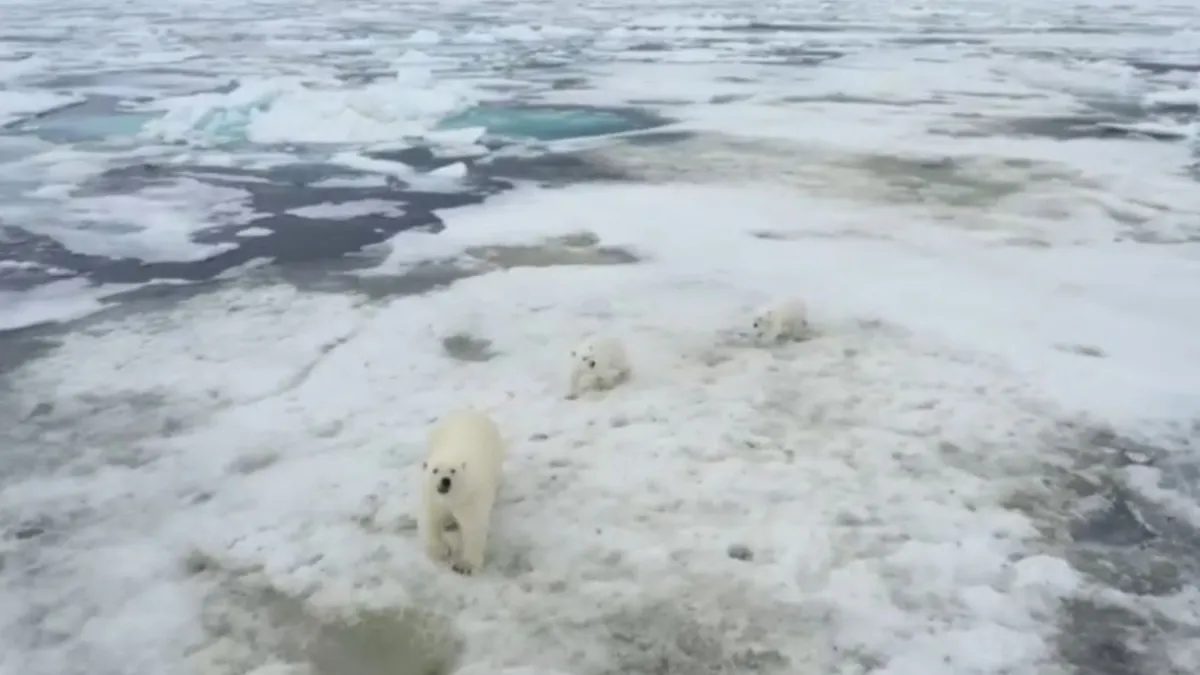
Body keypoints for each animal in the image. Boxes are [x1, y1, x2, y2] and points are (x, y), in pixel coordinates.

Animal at [420, 403, 504, 571]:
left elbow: (473, 527)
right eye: (435, 470)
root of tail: (470, 412)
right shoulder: (433, 498)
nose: (445, 481)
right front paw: (441, 551)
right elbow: (431, 520)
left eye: (453, 470)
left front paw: (465, 566)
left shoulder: (470, 499)